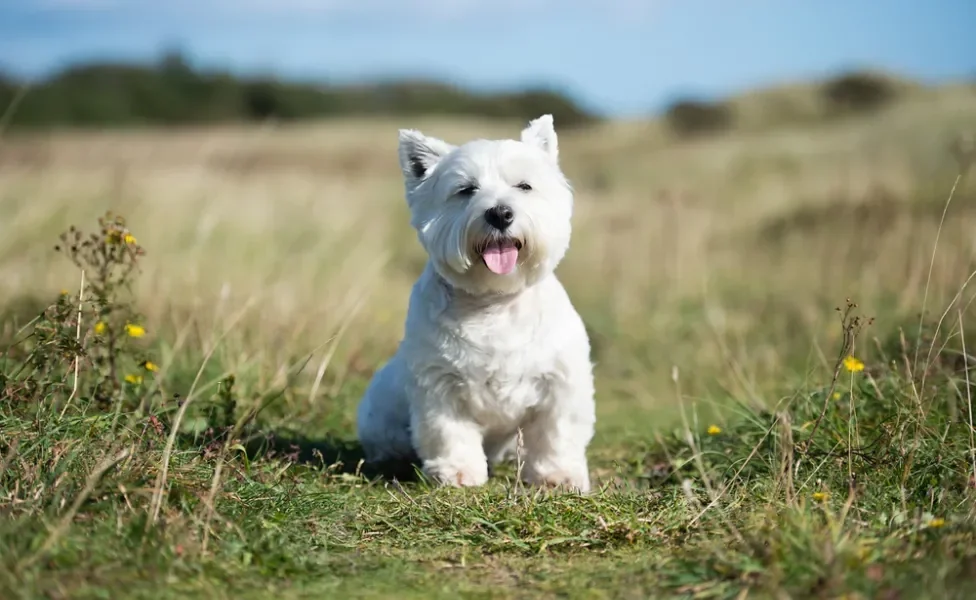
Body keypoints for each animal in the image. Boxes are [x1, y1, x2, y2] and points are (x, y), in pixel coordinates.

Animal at [352, 113, 596, 492]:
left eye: (524, 186)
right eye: (466, 190)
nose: (500, 214)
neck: (494, 302)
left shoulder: (560, 382)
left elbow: (557, 434)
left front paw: (557, 476)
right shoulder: (439, 385)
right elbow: (448, 432)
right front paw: (458, 473)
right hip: (378, 409)